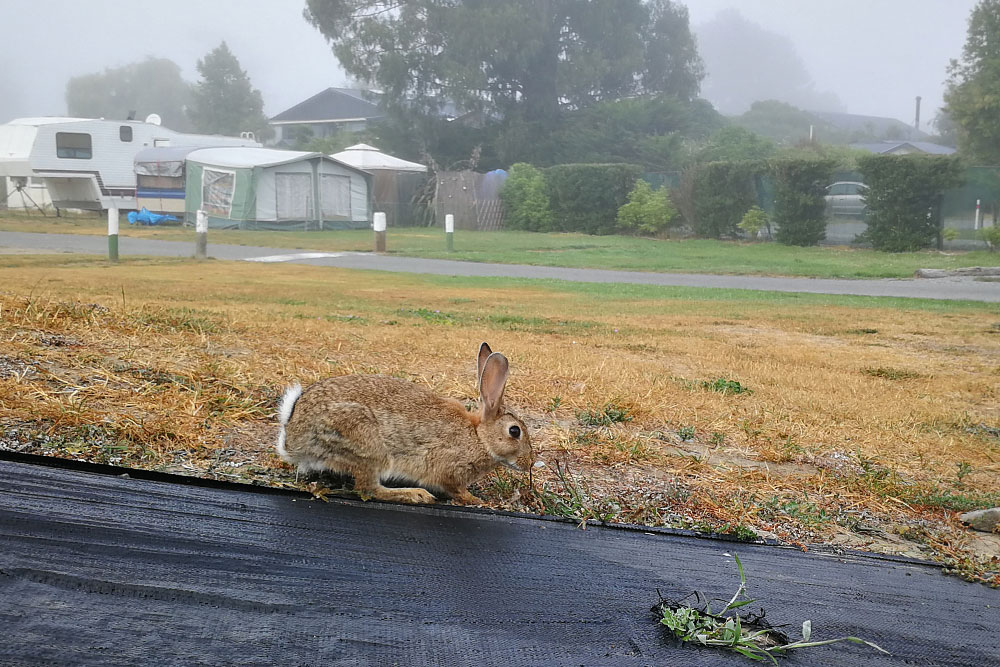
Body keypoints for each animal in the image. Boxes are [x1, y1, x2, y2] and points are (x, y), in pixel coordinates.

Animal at [276, 344, 532, 506]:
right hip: (366, 445)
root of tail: (292, 438)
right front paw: (477, 500)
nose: (529, 463)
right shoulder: (448, 470)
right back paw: (416, 495)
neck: (478, 436)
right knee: (369, 489)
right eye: (515, 431)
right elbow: (455, 489)